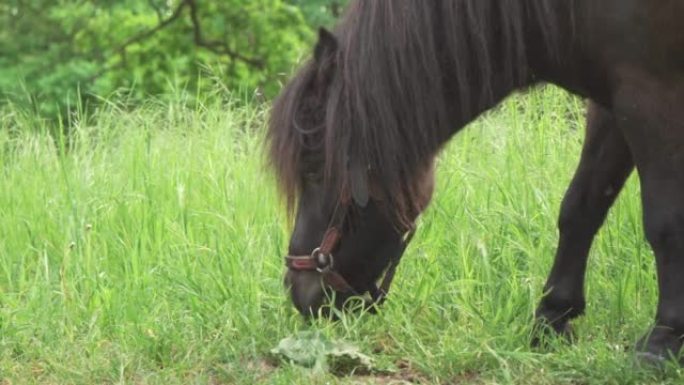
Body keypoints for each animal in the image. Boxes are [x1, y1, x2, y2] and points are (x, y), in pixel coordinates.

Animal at [264, 0, 684, 362]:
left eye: (314, 170)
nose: (297, 291)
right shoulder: (612, 102)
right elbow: (581, 207)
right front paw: (552, 316)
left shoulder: (649, 95)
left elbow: (665, 224)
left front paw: (663, 339)